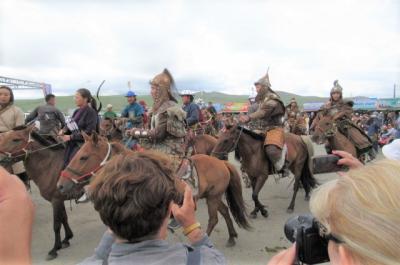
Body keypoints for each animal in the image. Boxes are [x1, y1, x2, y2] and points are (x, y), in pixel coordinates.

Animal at [0, 125, 81, 258]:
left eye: (16, 139)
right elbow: (64, 218)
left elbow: (56, 224)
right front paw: (67, 239)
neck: (49, 165)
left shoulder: (55, 200)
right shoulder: (59, 199)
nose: (1, 159)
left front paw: (54, 249)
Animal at [57, 133, 250, 246]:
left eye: (83, 157)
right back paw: (232, 237)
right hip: (212, 196)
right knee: (225, 211)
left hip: (213, 197)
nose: (60, 185)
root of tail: (221, 163)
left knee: (213, 219)